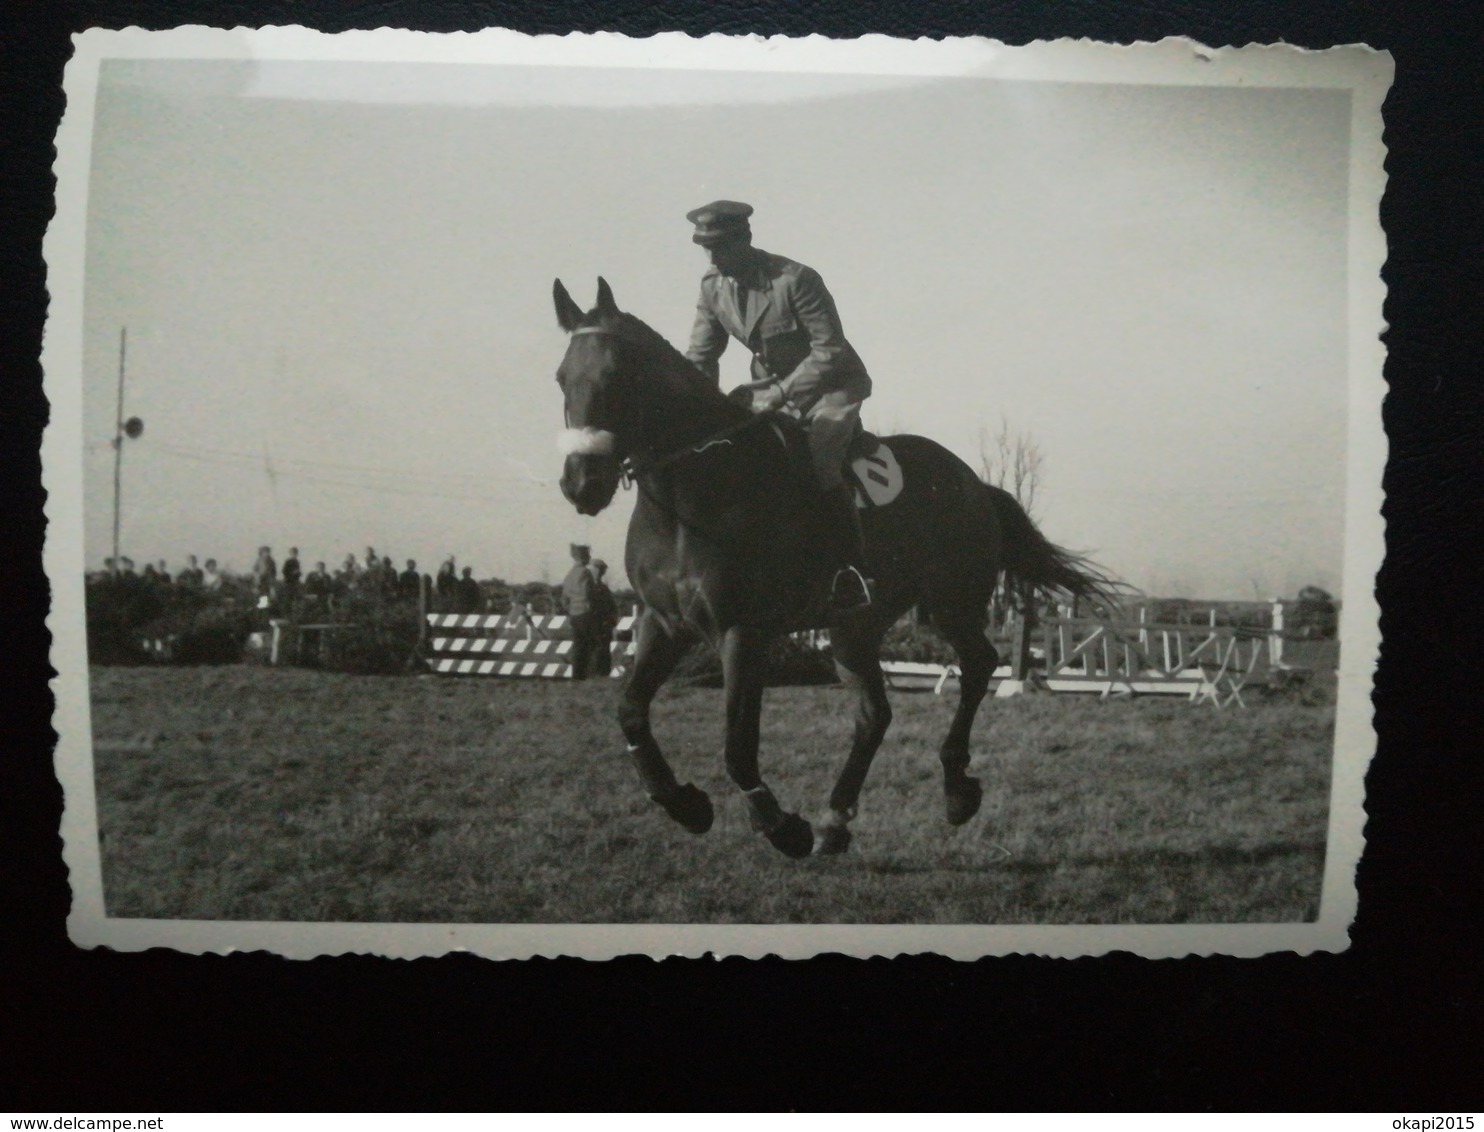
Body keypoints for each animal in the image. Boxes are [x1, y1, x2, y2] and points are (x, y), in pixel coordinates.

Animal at [552, 278, 1115, 854]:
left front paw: (780, 826)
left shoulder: (742, 632)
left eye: (618, 376)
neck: (691, 493)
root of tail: (975, 482)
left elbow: (738, 746)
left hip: (951, 605)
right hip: (855, 628)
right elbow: (630, 713)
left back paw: (956, 788)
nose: (581, 485)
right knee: (874, 715)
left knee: (978, 665)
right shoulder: (662, 623)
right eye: (561, 378)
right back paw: (836, 819)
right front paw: (683, 804)